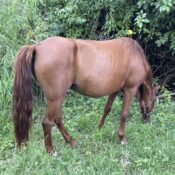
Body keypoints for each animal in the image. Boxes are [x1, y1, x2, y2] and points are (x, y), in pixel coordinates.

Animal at [12, 36, 154, 153]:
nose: (146, 120)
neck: (135, 55)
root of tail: (37, 47)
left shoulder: (114, 90)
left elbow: (107, 109)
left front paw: (99, 128)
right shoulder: (130, 89)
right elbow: (124, 114)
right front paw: (122, 138)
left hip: (55, 98)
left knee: (57, 119)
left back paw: (71, 142)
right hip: (55, 98)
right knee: (47, 122)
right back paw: (51, 151)